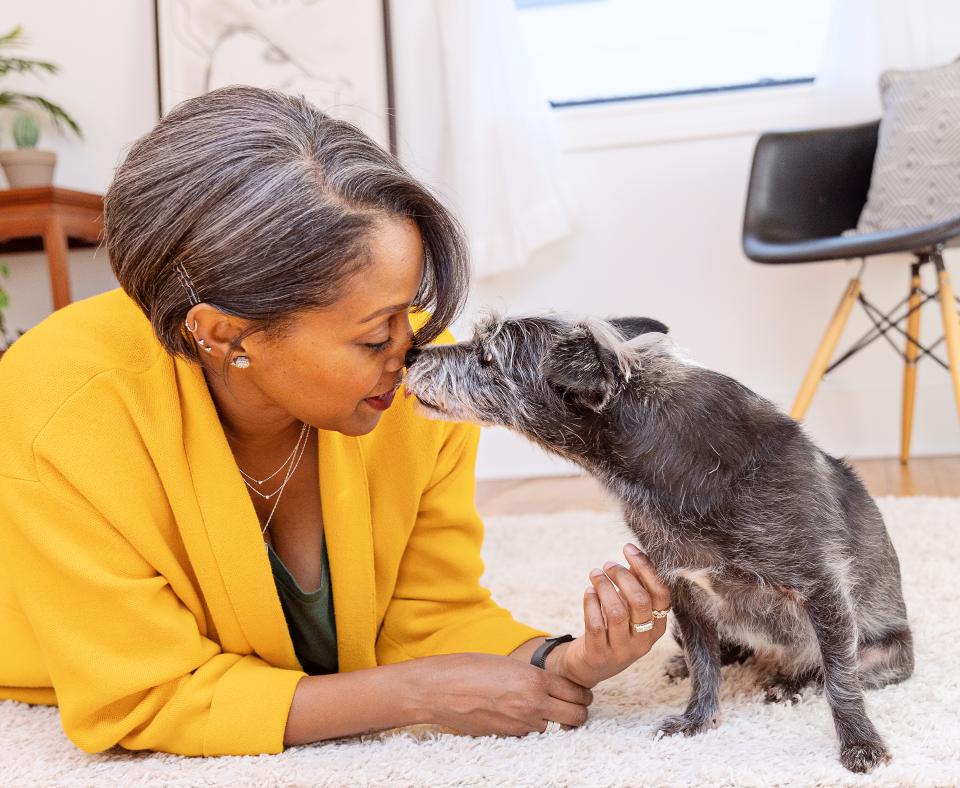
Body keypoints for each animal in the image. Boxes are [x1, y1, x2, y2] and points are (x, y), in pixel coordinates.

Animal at [404, 310, 916, 772]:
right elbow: (705, 663)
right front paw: (698, 719)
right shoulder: (684, 591)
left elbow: (839, 681)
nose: (411, 353)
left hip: (886, 654)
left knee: (826, 669)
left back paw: (791, 683)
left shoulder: (821, 586)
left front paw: (859, 743)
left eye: (488, 356)